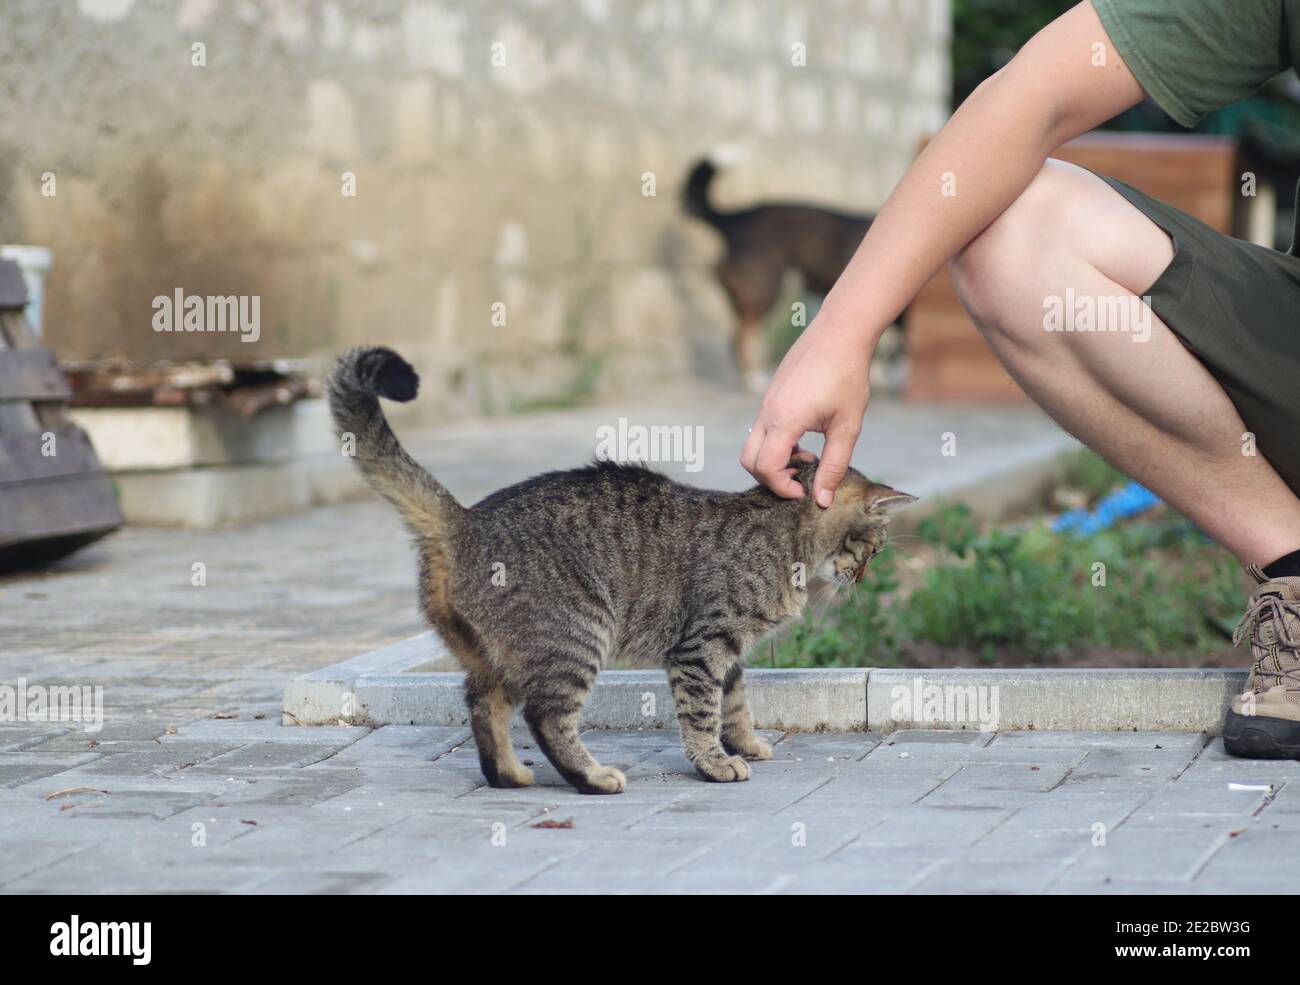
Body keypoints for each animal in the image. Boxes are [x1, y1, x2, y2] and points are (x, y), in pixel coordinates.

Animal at [325, 348, 915, 795]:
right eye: (875, 549)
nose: (865, 577)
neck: (784, 533)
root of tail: (464, 520)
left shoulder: (726, 651)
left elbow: (736, 703)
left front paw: (745, 744)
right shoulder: (702, 645)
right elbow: (702, 712)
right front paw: (715, 762)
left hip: (499, 655)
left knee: (482, 705)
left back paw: (510, 775)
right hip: (577, 635)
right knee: (546, 717)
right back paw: (591, 777)